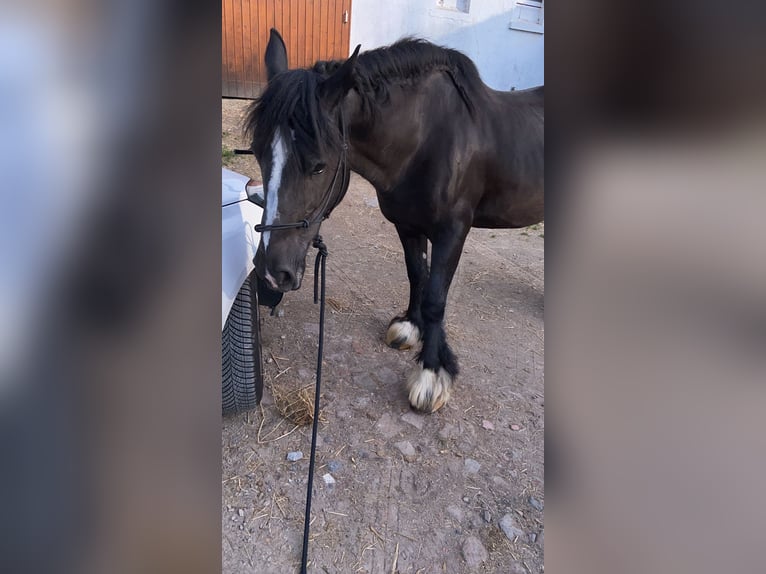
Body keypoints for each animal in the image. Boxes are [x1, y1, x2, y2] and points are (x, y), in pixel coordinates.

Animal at [249, 29, 544, 414]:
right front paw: (411, 328)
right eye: (258, 153)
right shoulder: (407, 225)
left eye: (319, 166)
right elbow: (417, 274)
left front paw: (432, 373)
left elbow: (436, 298)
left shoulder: (452, 232)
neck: (428, 139)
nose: (271, 273)